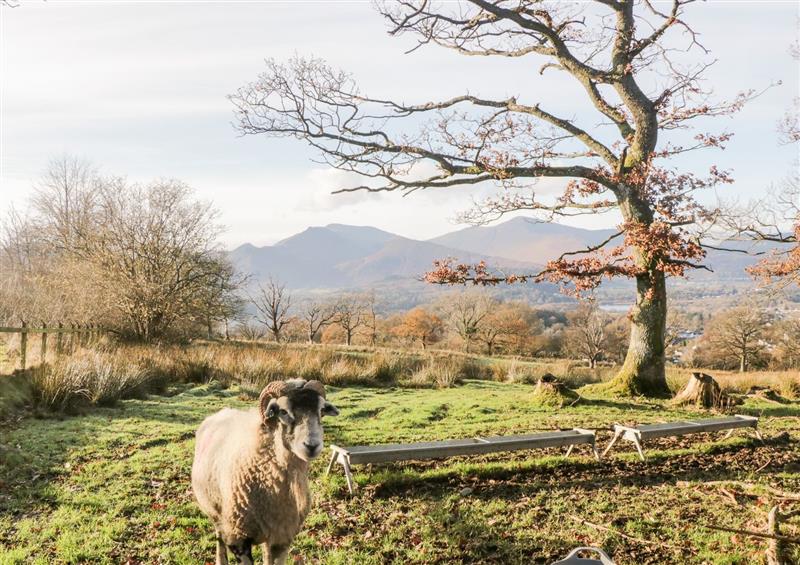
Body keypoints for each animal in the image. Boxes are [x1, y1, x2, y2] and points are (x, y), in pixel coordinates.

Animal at [192, 378, 340, 564]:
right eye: (283, 411)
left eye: (321, 410)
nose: (312, 446)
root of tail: (221, 412)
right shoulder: (238, 539)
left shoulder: (283, 538)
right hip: (217, 514)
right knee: (219, 538)